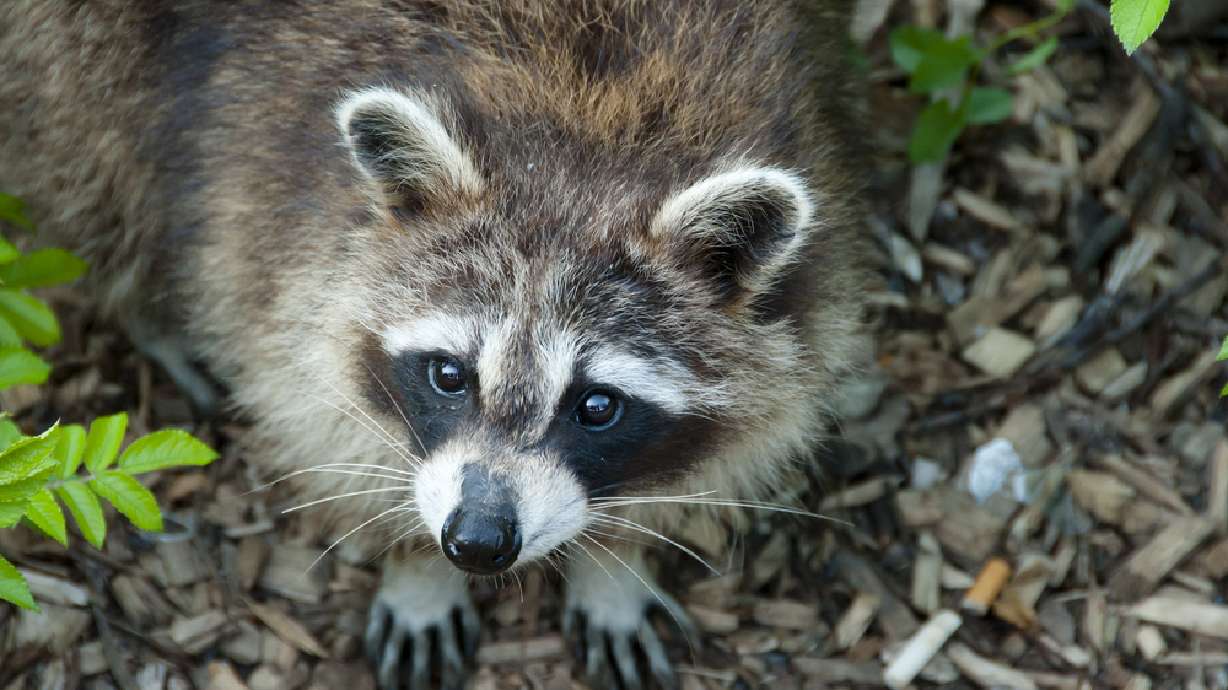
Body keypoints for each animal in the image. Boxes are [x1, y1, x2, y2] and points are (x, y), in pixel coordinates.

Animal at [0, 1, 868, 688]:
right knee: (94, 153)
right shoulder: (274, 220)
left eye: (597, 405)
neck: (588, 129)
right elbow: (317, 405)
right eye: (449, 374)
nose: (476, 542)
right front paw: (412, 562)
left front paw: (615, 562)